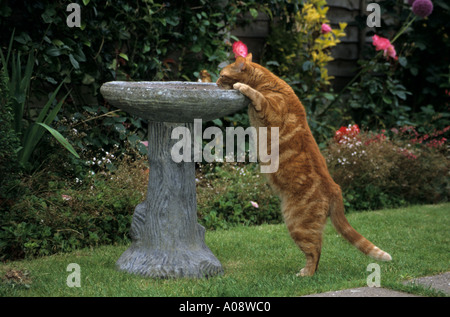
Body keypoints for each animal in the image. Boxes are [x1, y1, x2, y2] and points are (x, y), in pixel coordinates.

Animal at [217, 53, 390, 276]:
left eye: (222, 75)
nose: (216, 82)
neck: (268, 82)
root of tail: (335, 188)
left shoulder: (270, 108)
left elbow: (256, 95)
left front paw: (242, 86)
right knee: (318, 251)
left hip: (297, 224)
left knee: (314, 252)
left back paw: (305, 274)